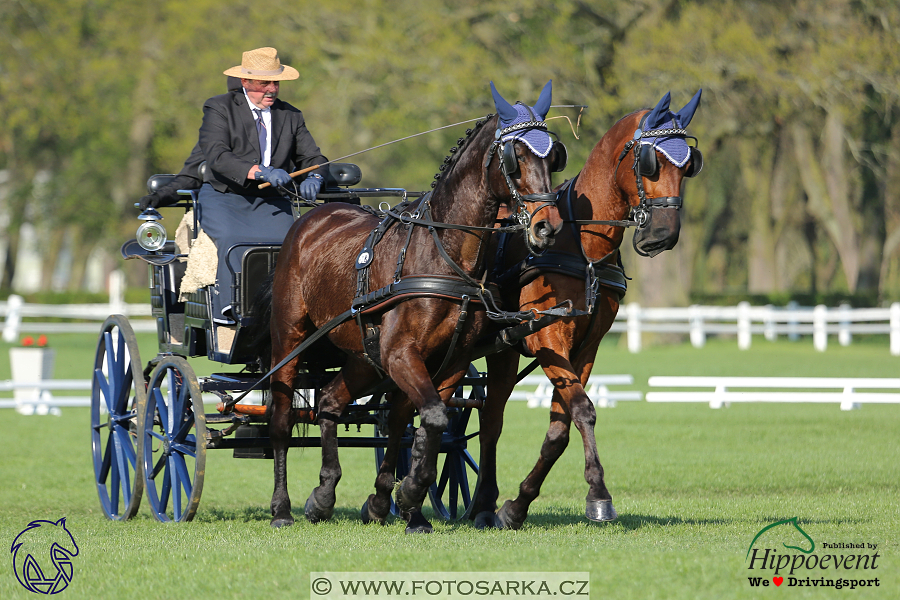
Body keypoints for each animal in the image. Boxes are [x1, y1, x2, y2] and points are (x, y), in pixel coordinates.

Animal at [264, 82, 568, 532]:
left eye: (553, 156)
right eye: (514, 157)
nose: (547, 227)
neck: (444, 255)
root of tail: (314, 216)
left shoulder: (449, 361)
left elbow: (429, 425)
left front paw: (406, 506)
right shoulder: (401, 353)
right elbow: (434, 419)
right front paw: (407, 494)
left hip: (365, 354)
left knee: (334, 402)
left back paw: (327, 494)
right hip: (290, 337)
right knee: (283, 420)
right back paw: (282, 507)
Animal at [468, 90, 708, 528]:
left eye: (688, 165)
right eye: (650, 162)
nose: (663, 235)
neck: (584, 247)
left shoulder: (587, 345)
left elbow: (560, 427)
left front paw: (518, 504)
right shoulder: (547, 336)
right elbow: (583, 408)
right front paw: (598, 493)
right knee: (490, 419)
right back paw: (478, 502)